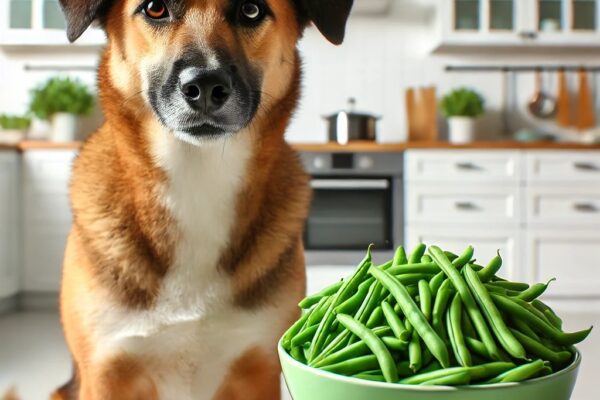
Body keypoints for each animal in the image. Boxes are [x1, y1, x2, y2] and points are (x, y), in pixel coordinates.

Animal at [54, 0, 354, 400]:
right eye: (155, 9)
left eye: (251, 10)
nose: (206, 87)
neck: (196, 177)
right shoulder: (106, 373)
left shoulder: (259, 369)